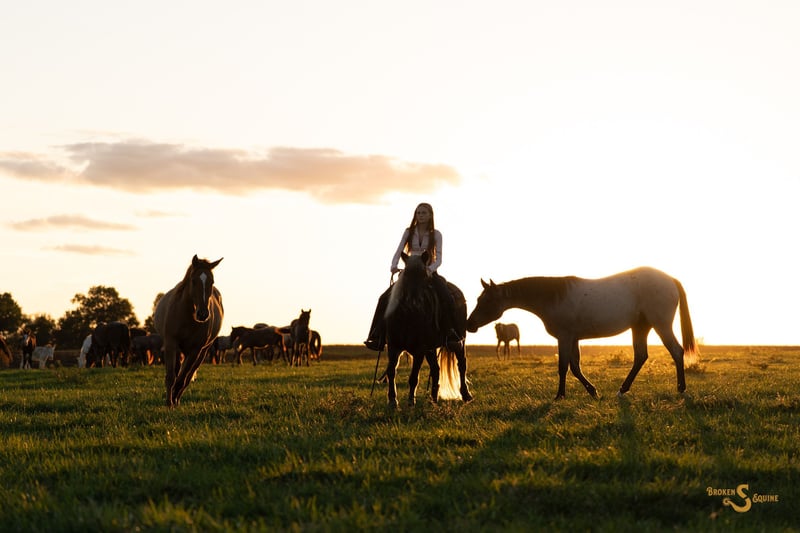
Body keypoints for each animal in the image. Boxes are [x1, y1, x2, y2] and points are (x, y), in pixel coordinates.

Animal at [154, 255, 224, 407]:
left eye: (212, 281)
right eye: (193, 280)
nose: (203, 314)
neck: (187, 315)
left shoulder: (195, 350)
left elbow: (183, 378)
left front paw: (174, 401)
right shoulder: (170, 344)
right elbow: (171, 376)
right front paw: (168, 403)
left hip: (202, 352)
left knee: (187, 375)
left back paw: (176, 398)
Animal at [382, 252, 473, 408]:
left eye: (425, 277)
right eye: (405, 275)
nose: (414, 303)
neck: (408, 317)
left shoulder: (419, 349)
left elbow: (413, 377)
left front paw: (411, 402)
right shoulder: (394, 347)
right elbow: (391, 371)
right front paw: (393, 401)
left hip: (459, 341)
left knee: (461, 364)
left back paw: (466, 395)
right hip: (431, 349)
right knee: (436, 370)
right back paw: (433, 399)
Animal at [466, 266, 698, 400]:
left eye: (486, 300)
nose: (469, 324)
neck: (552, 297)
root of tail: (670, 279)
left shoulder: (565, 336)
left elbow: (563, 367)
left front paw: (559, 396)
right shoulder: (574, 338)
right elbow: (575, 367)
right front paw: (593, 392)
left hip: (661, 325)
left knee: (676, 351)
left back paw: (681, 388)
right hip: (641, 327)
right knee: (641, 356)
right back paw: (622, 390)